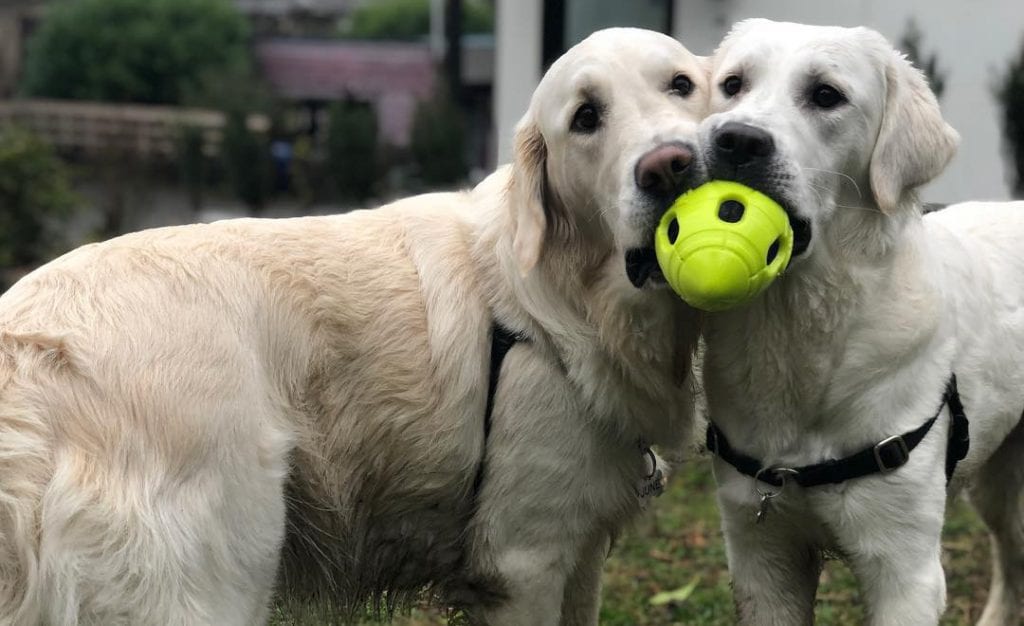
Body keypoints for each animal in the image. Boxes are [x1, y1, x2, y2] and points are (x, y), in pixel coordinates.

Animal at [0, 26, 708, 622]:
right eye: (586, 118)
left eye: (682, 85)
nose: (670, 165)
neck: (565, 298)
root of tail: (28, 356)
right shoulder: (524, 563)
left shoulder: (581, 554)